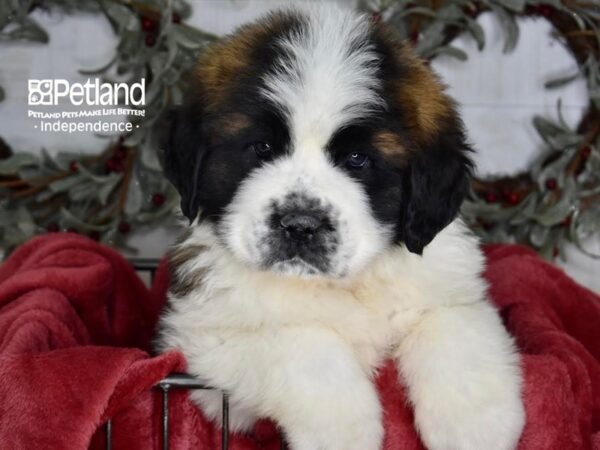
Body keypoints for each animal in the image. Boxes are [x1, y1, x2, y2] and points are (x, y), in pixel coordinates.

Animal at [156, 4, 524, 450]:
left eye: (357, 160)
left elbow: (454, 328)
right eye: (262, 148)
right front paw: (343, 430)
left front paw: (476, 426)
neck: (344, 285)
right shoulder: (200, 338)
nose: (300, 225)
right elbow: (305, 345)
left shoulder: (449, 286)